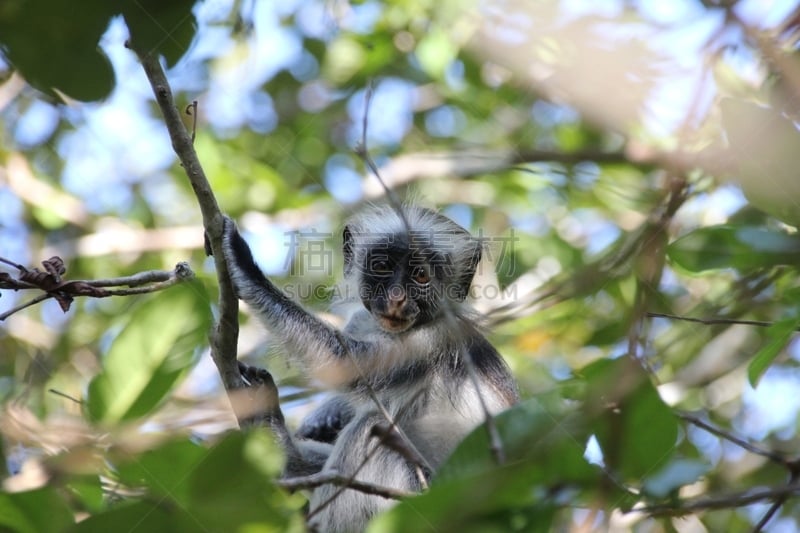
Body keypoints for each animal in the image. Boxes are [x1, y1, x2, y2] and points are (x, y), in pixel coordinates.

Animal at [219, 205, 520, 532]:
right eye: (382, 266)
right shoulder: (363, 321)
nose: (397, 299)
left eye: (421, 275)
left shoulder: (435, 340)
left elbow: (342, 363)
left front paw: (243, 265)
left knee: (370, 425)